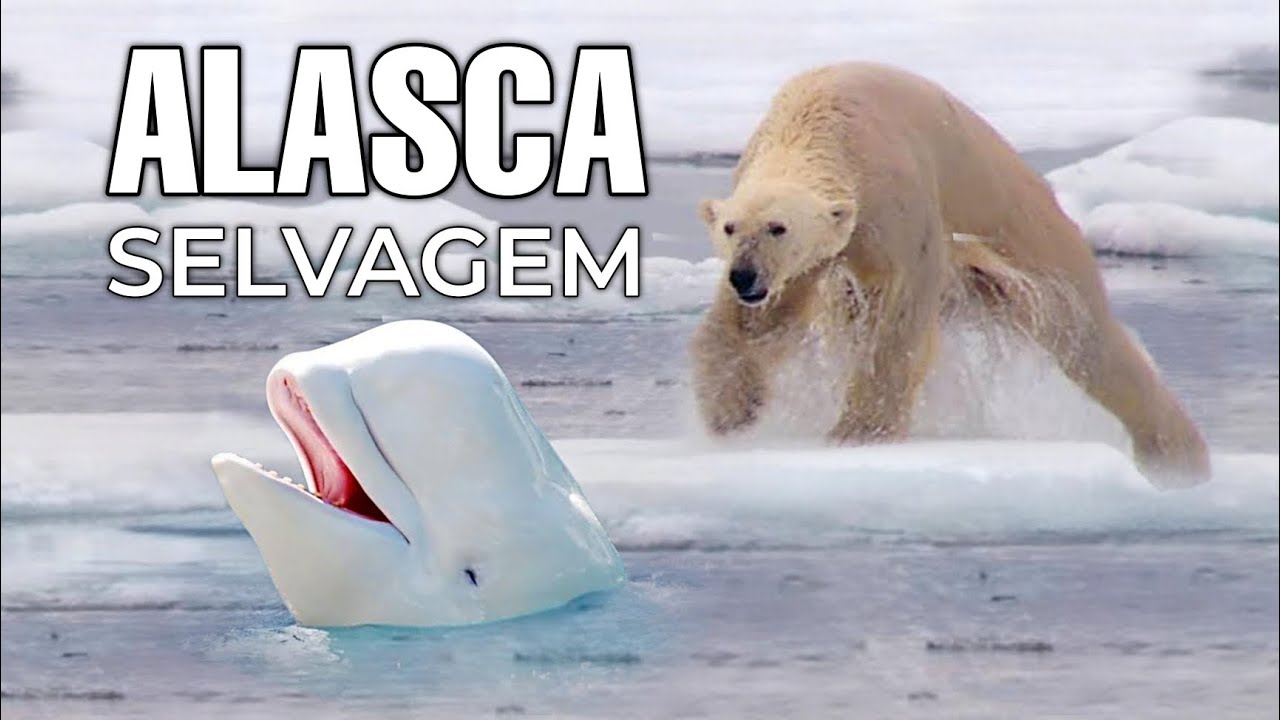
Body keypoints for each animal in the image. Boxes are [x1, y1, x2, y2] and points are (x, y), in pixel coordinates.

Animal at [691, 62, 1211, 488]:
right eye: (730, 228)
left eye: (778, 227)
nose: (744, 276)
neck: (819, 121)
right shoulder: (808, 259)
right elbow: (758, 323)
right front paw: (730, 411)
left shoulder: (896, 198)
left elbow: (898, 313)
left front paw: (858, 432)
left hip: (1025, 232)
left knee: (1085, 337)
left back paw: (1177, 453)